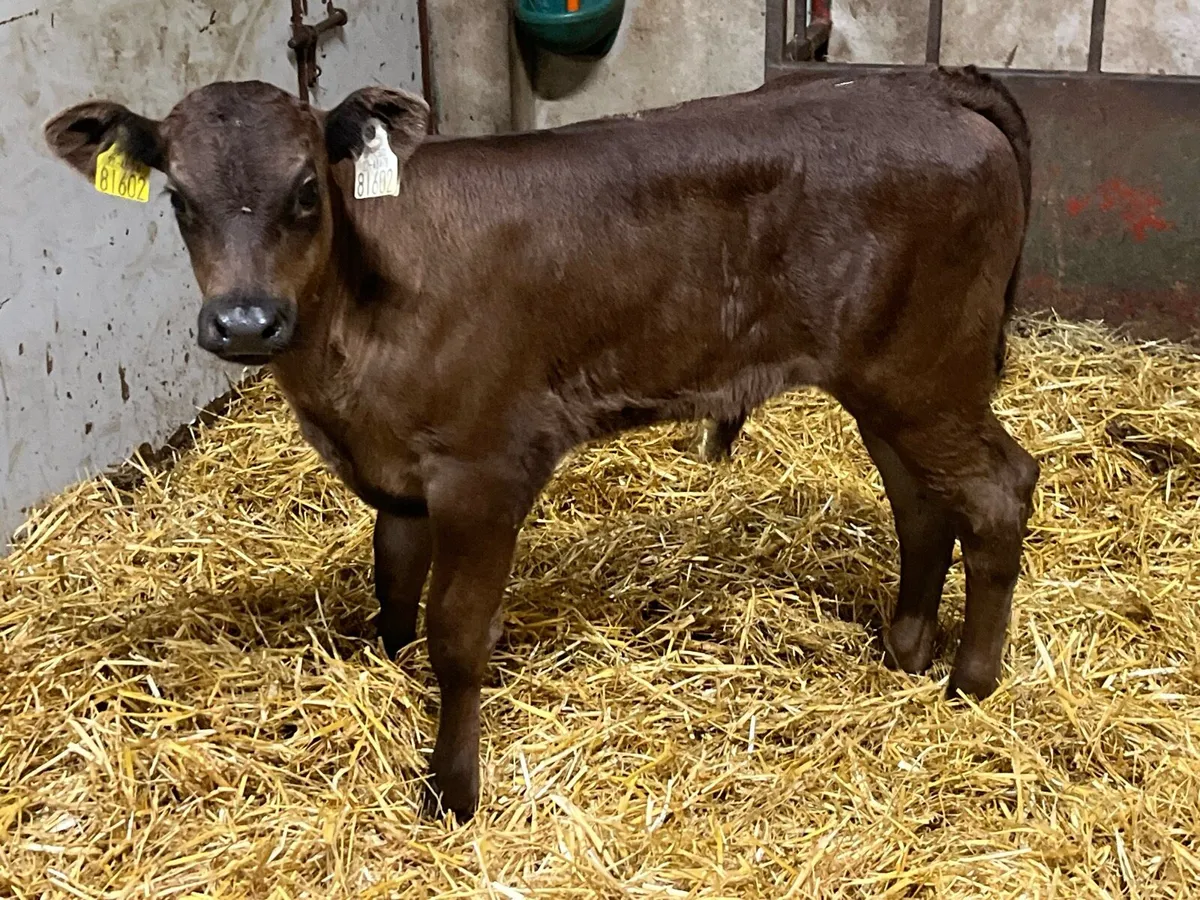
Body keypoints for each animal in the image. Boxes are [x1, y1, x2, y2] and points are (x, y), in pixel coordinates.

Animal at [44, 65, 1039, 820]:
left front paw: (452, 791)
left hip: (926, 372)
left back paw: (971, 682)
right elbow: (393, 591)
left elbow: (454, 632)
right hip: (888, 383)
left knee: (1000, 489)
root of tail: (927, 85)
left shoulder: (486, 469)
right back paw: (905, 649)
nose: (246, 322)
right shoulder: (400, 475)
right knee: (921, 504)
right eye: (178, 197)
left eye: (305, 191)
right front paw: (390, 680)